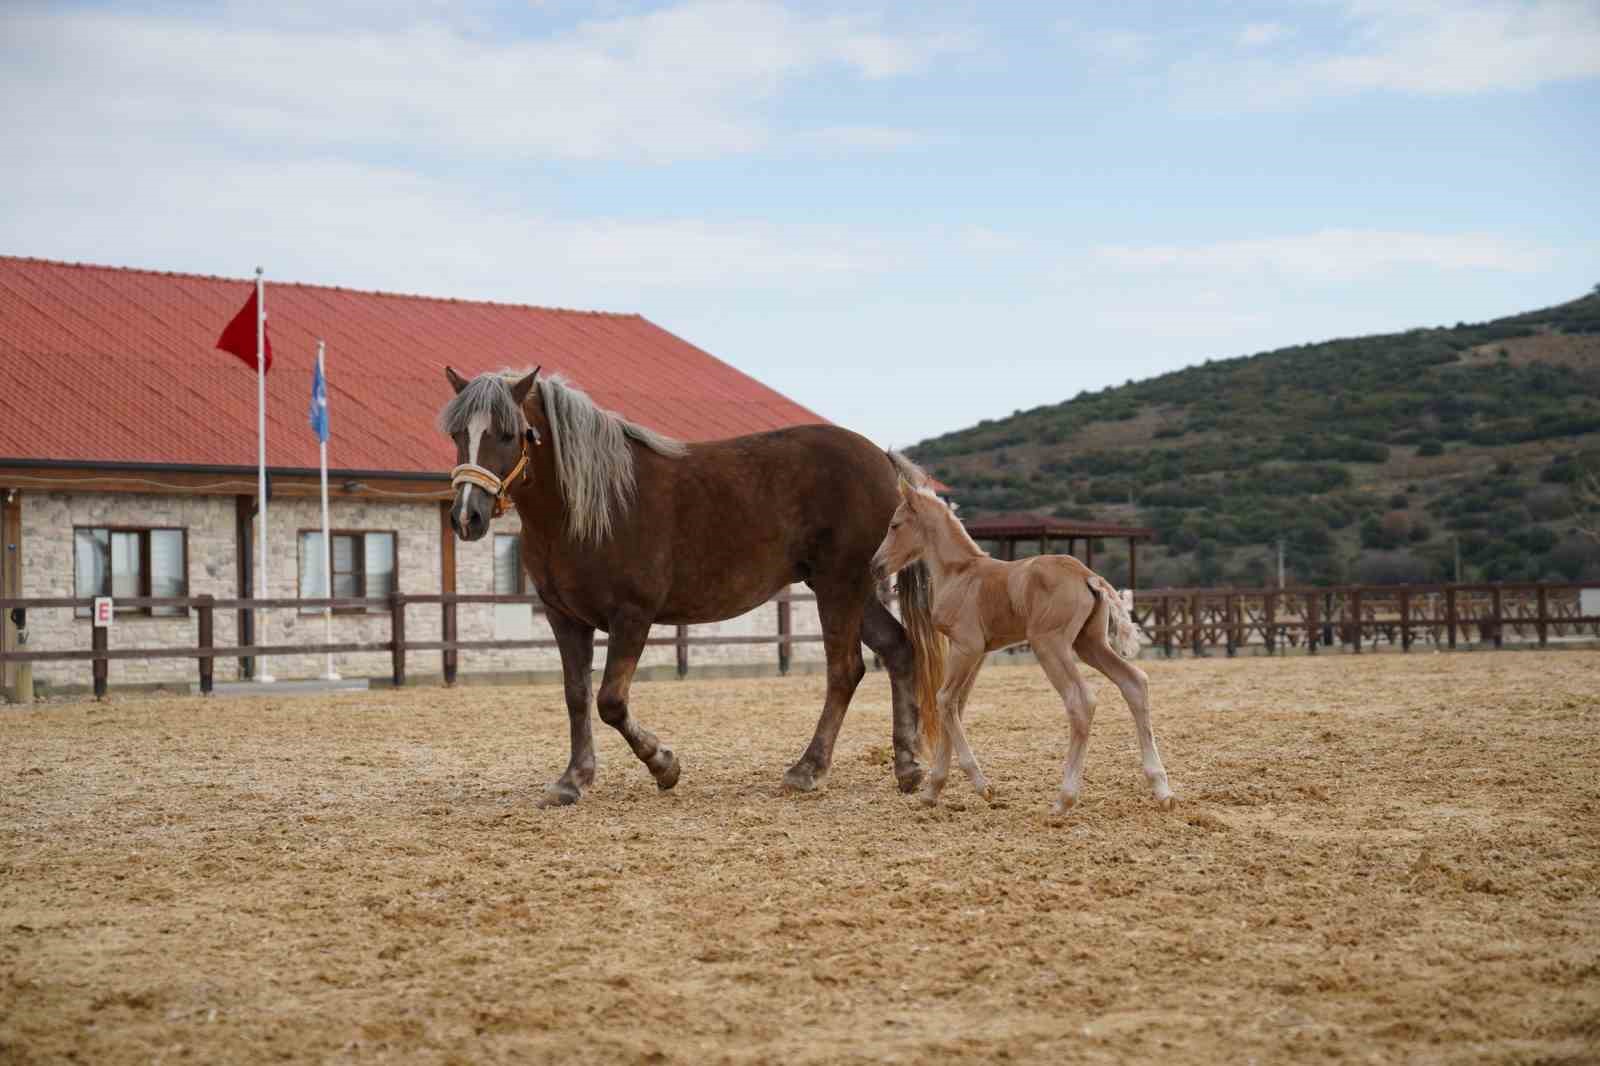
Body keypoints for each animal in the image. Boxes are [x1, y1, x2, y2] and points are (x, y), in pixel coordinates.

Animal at [438, 368, 940, 806]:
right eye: (458, 434)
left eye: (509, 434)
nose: (467, 516)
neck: (590, 506)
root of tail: (884, 461)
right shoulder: (565, 618)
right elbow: (576, 696)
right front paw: (573, 780)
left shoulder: (632, 616)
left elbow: (610, 701)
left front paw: (664, 765)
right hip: (850, 589)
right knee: (897, 649)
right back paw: (907, 766)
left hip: (839, 586)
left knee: (845, 670)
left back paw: (808, 769)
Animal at [876, 480, 1177, 813]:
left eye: (894, 525)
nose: (876, 565)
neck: (960, 572)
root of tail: (1088, 576)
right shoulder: (979, 653)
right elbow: (955, 704)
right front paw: (933, 791)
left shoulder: (965, 646)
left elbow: (944, 699)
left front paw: (981, 786)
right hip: (1090, 644)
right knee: (1134, 682)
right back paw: (1162, 790)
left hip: (1049, 644)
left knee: (1081, 700)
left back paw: (1063, 801)